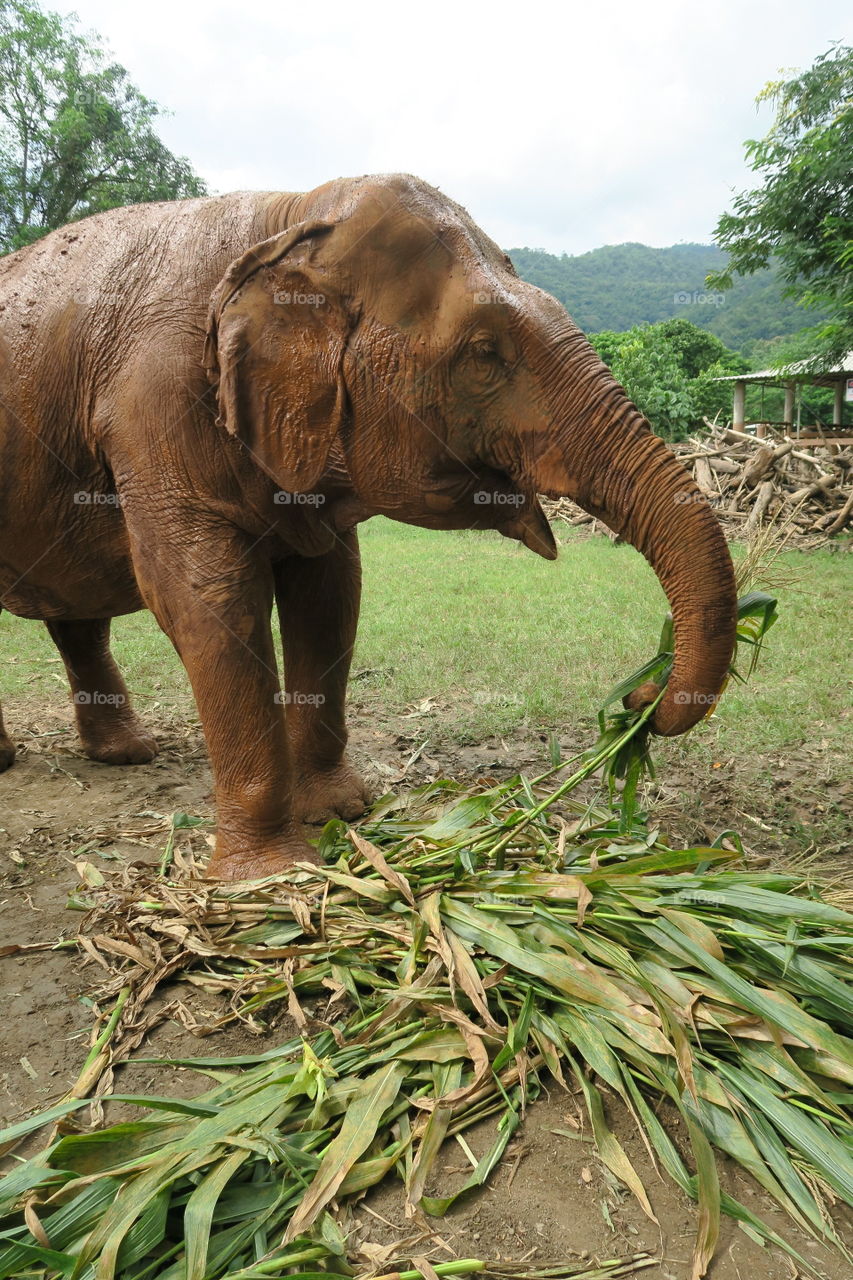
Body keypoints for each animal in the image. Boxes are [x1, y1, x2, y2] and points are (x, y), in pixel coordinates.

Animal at [0, 174, 737, 880]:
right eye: (483, 351)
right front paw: (272, 875)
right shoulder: (150, 406)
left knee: (78, 616)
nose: (639, 698)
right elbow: (206, 595)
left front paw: (341, 812)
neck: (286, 218)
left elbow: (331, 591)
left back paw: (126, 754)